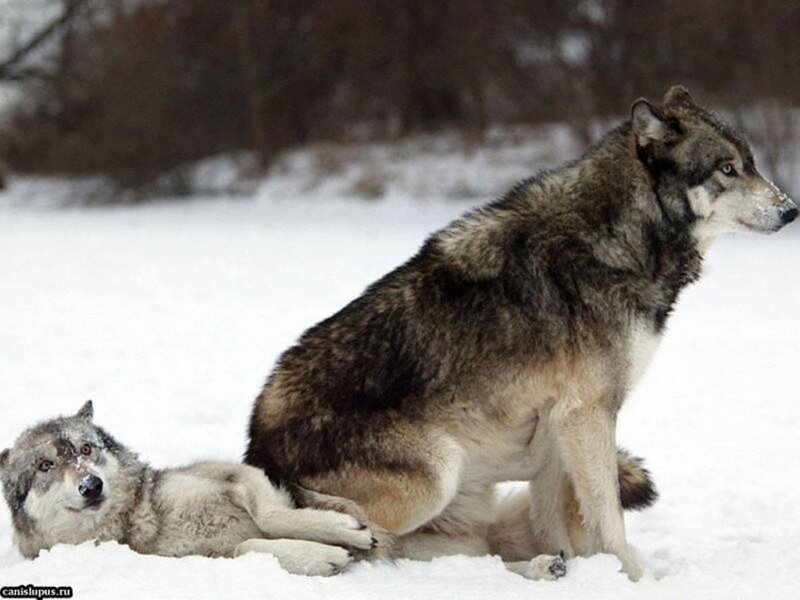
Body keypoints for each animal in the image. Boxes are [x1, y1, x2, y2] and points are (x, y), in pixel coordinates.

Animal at [0, 401, 377, 576]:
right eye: (45, 466)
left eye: (86, 449)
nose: (91, 486)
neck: (140, 519)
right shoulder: (211, 556)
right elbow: (249, 545)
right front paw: (320, 556)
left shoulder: (236, 474)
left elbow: (269, 515)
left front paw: (347, 531)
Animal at [245, 86, 797, 581]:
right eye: (727, 169)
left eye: (751, 164)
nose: (791, 209)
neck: (618, 238)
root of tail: (256, 441)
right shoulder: (587, 415)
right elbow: (610, 522)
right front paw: (639, 583)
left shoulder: (555, 429)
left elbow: (557, 524)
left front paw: (577, 571)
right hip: (438, 471)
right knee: (311, 531)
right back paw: (327, 543)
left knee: (428, 550)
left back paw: (535, 567)